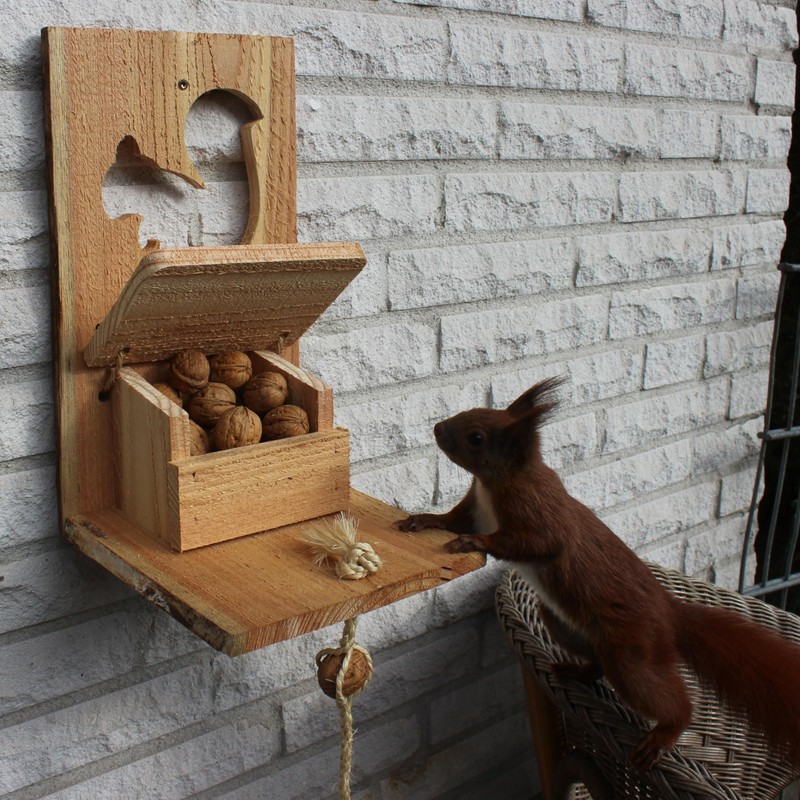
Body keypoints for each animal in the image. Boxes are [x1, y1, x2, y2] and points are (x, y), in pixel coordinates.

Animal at [394, 377, 800, 771]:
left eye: (476, 437)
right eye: (472, 410)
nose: (437, 428)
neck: (496, 483)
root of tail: (669, 612)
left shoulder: (538, 513)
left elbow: (532, 542)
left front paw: (471, 542)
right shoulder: (476, 508)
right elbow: (452, 519)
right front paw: (422, 520)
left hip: (631, 651)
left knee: (664, 696)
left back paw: (666, 732)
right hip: (564, 624)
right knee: (597, 664)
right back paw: (578, 672)